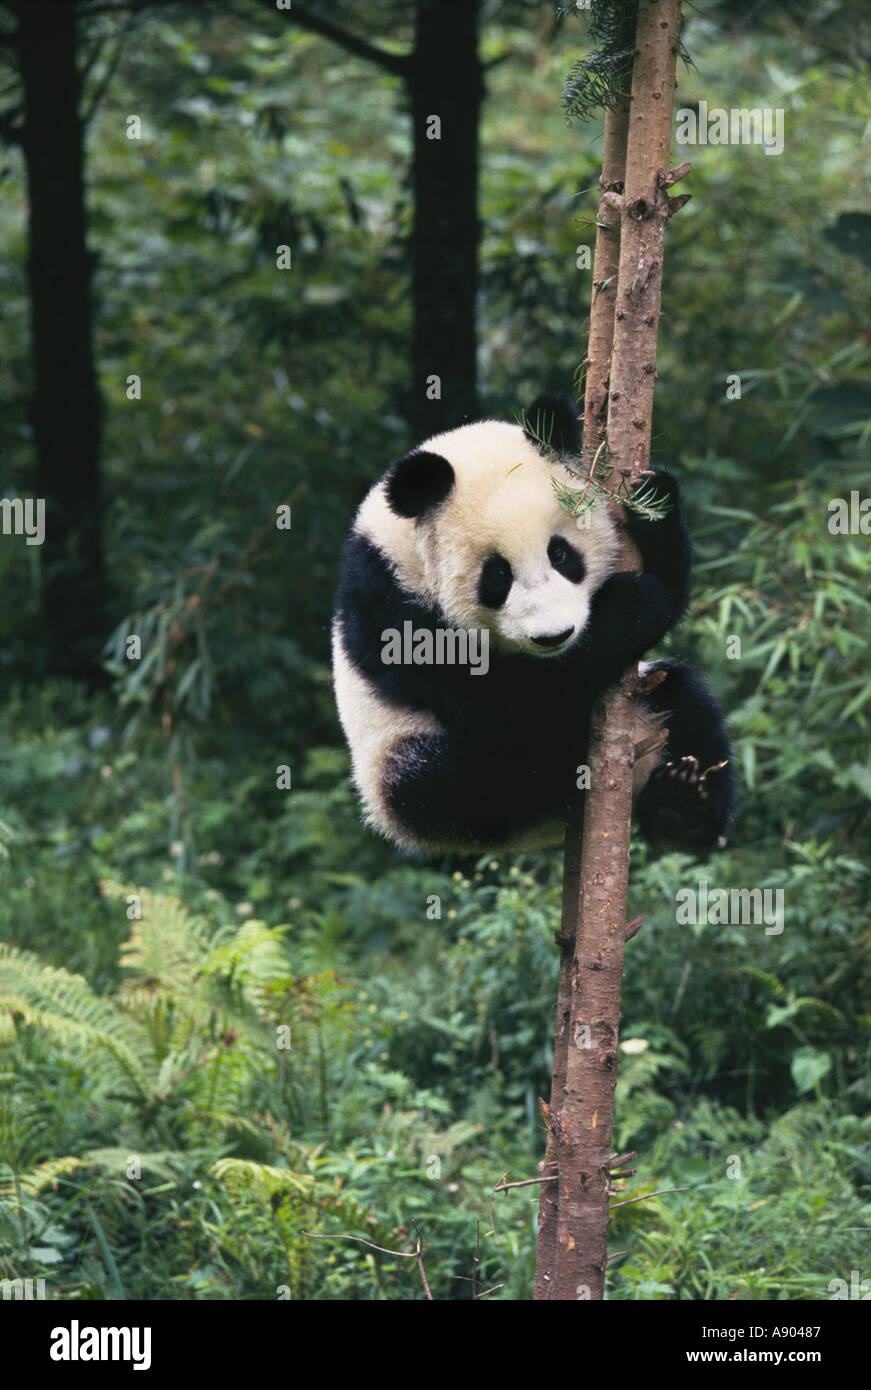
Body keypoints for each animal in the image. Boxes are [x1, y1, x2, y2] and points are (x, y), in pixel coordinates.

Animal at [332, 392, 735, 856]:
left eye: (560, 554)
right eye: (497, 575)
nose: (554, 636)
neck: (400, 549)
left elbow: (671, 589)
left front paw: (652, 503)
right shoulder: (392, 606)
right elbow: (512, 702)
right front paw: (631, 606)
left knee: (685, 699)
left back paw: (679, 807)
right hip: (396, 765)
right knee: (454, 781)